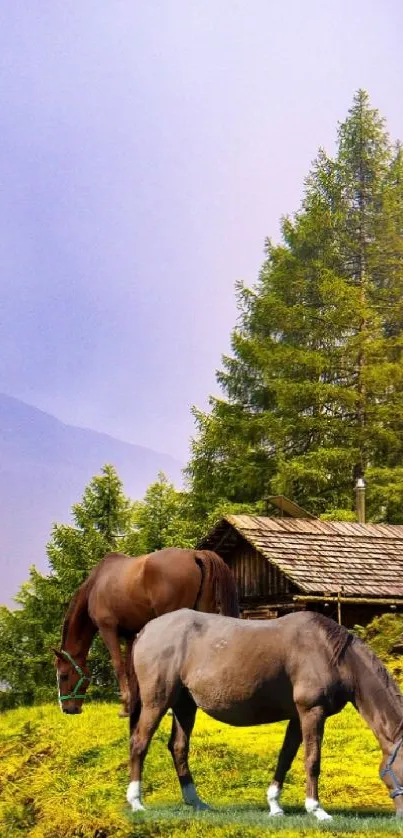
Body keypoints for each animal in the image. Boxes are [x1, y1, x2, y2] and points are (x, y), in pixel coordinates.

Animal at [54, 552, 240, 716]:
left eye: (63, 676)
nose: (67, 709)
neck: (95, 584)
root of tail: (195, 554)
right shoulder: (130, 634)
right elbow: (130, 669)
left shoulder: (108, 629)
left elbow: (118, 666)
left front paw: (125, 707)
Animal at [127, 612, 403, 820]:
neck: (330, 653)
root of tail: (147, 630)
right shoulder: (312, 712)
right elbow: (312, 760)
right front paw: (316, 809)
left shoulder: (297, 717)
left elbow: (286, 758)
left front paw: (275, 805)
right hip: (157, 701)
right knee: (139, 744)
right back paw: (136, 802)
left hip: (185, 705)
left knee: (178, 747)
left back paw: (196, 802)